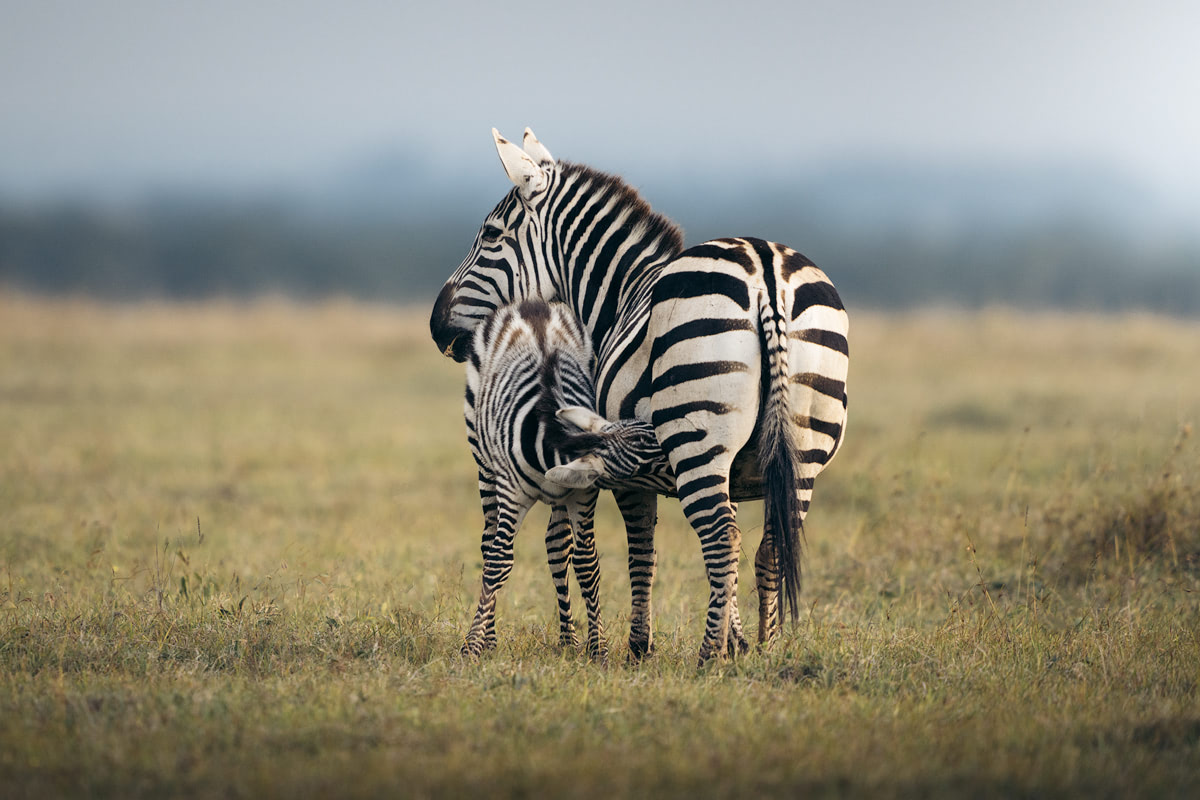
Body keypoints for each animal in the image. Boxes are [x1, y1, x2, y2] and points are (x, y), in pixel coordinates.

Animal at [434, 126, 854, 662]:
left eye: (490, 236)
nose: (436, 325)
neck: (617, 297)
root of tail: (766, 270)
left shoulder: (630, 473)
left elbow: (642, 553)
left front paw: (641, 645)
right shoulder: (731, 469)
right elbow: (734, 548)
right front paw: (738, 641)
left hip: (696, 440)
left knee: (719, 539)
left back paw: (706, 658)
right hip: (803, 448)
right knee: (771, 545)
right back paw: (770, 648)